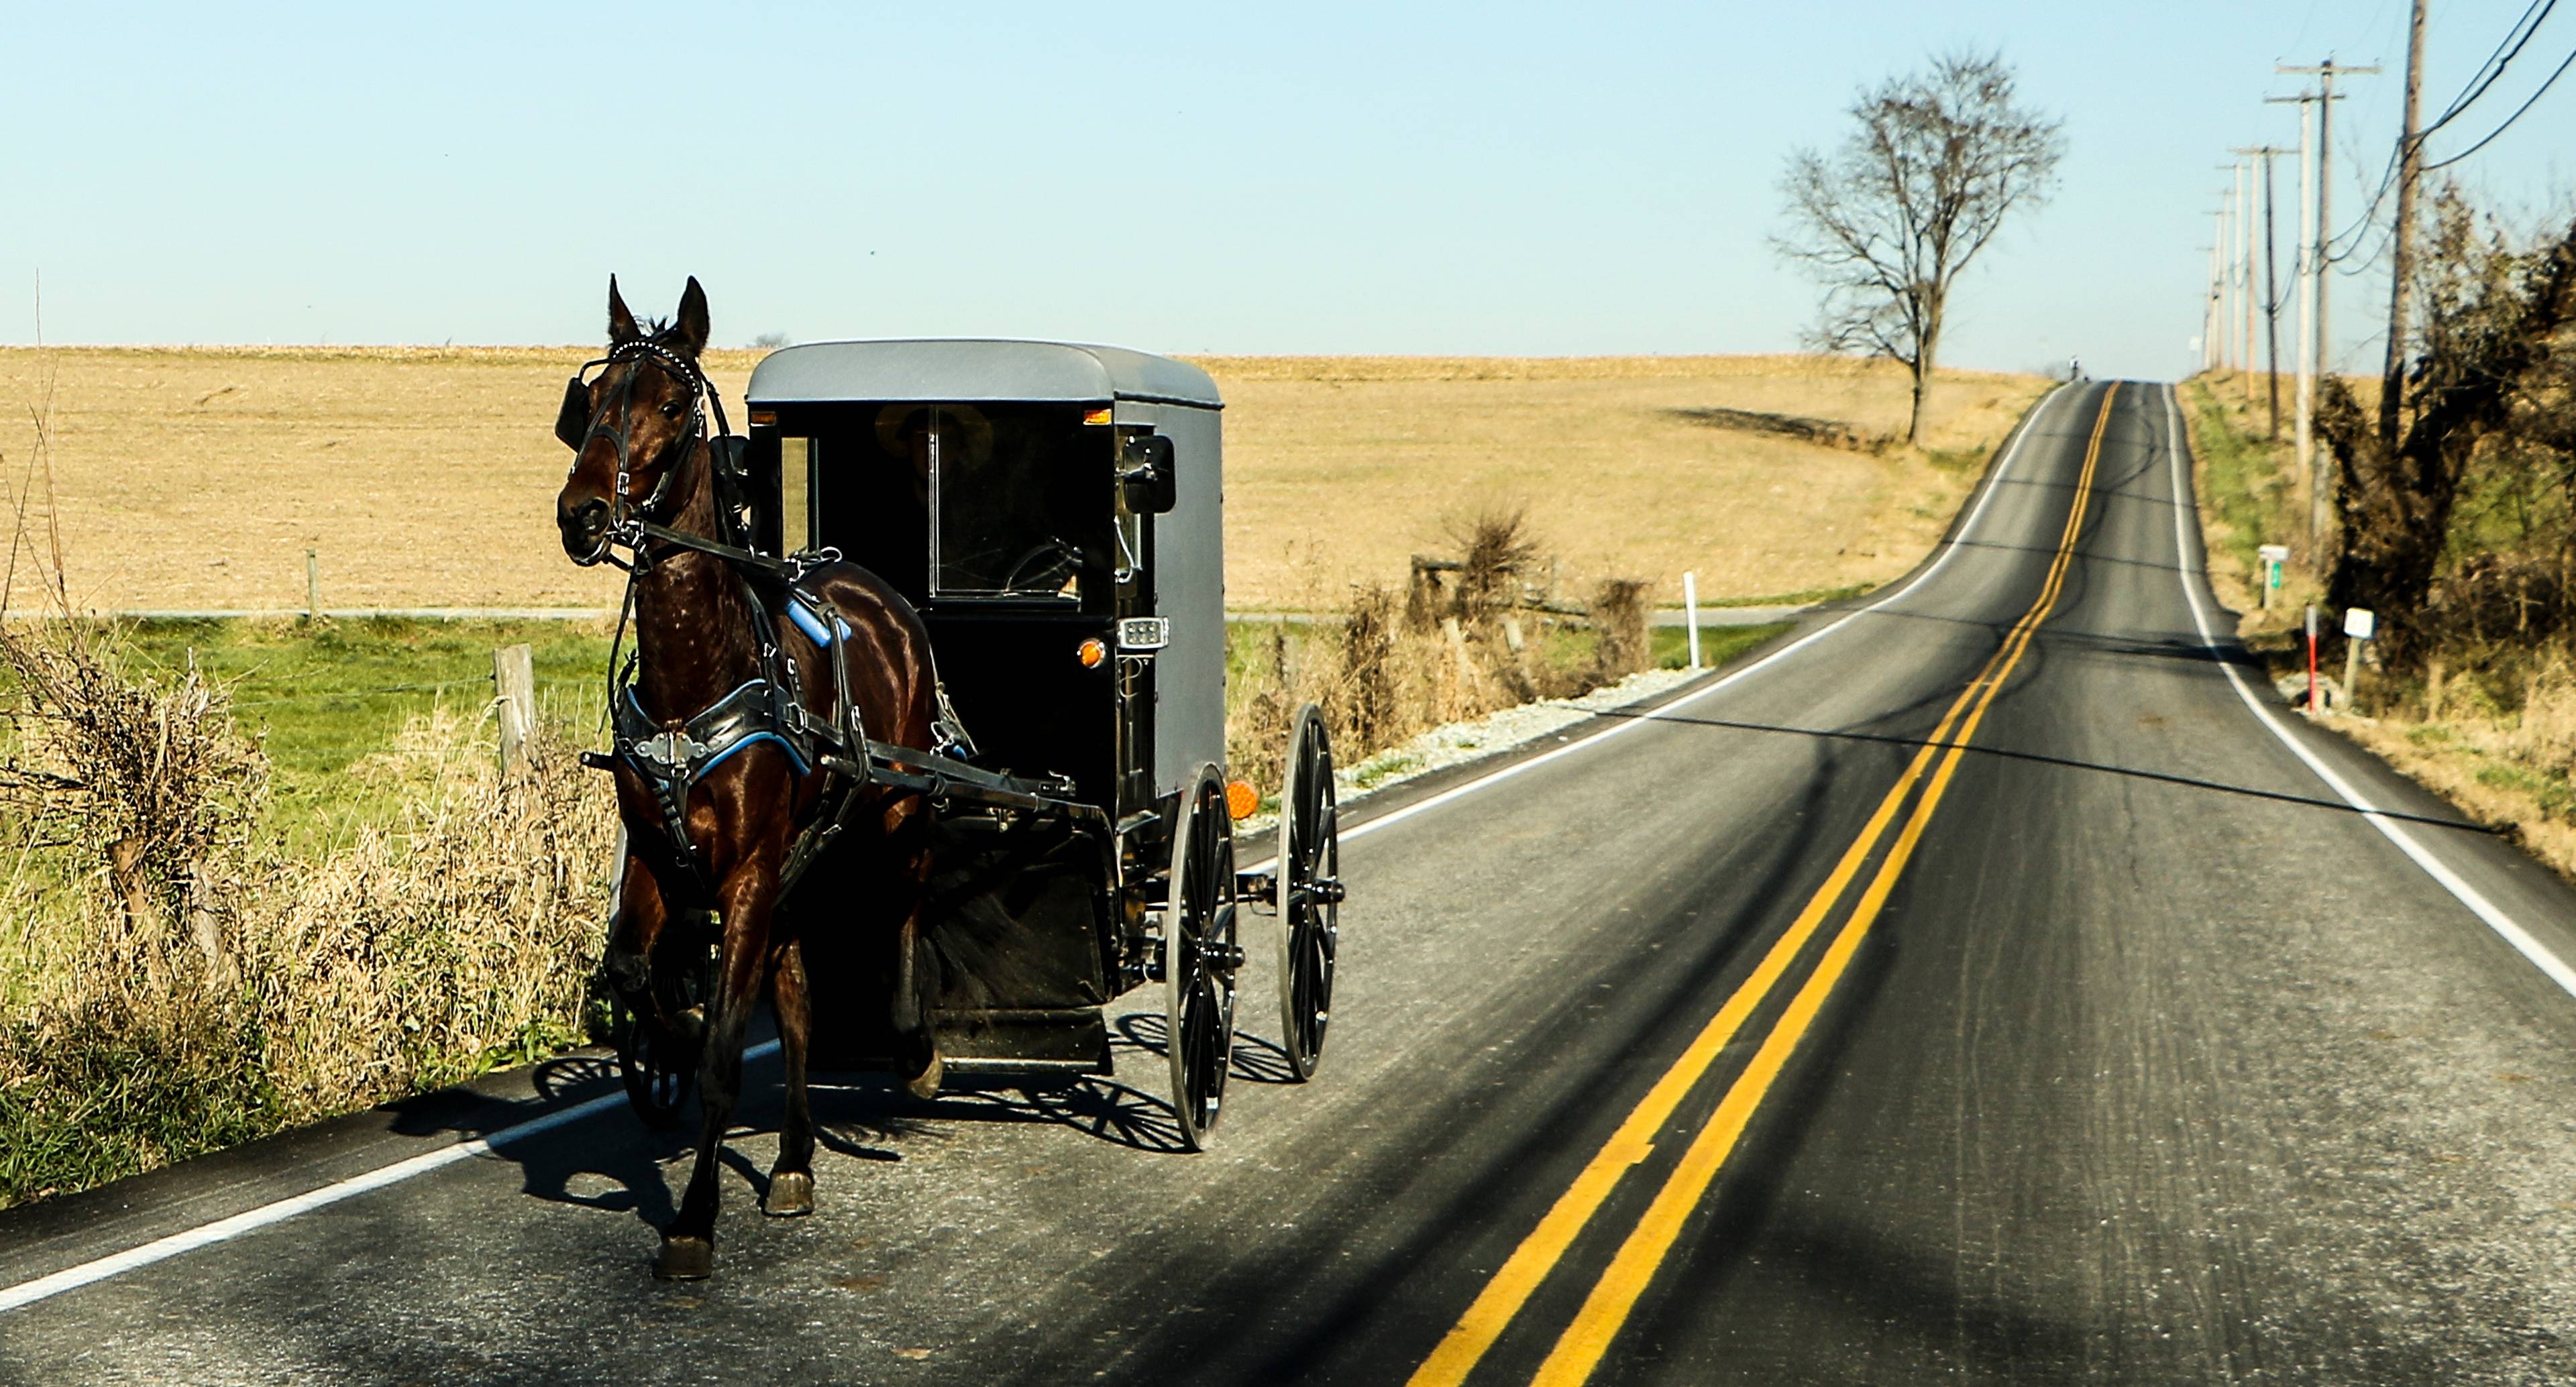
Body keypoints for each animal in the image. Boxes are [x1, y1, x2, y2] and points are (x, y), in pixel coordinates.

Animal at [553, 276, 948, 1286]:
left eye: (671, 404)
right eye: (592, 399)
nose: (581, 513)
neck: (700, 676)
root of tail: (870, 586)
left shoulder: (748, 874)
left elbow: (729, 1056)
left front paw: (693, 1218)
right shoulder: (659, 852)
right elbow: (634, 971)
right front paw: (674, 1025)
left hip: (896, 807)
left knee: (905, 902)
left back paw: (915, 1049)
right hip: (799, 866)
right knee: (801, 997)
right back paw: (798, 1158)